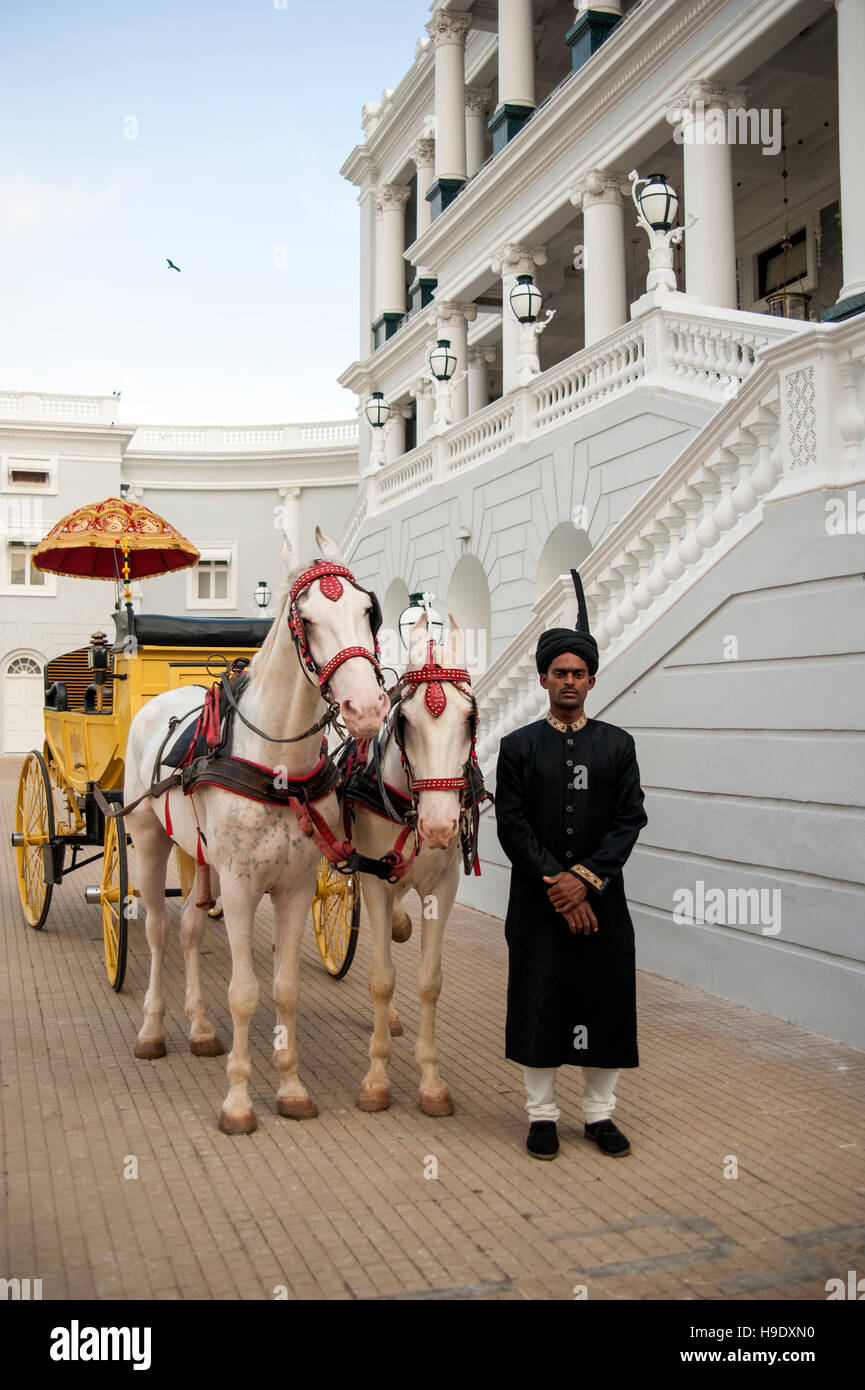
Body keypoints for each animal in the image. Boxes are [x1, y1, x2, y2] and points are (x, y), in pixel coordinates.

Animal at [125, 525, 389, 1134]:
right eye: (307, 618)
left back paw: (200, 1028)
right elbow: (244, 993)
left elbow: (285, 989)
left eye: (369, 611)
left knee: (190, 929)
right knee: (157, 930)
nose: (366, 708)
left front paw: (291, 1088)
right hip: (149, 842)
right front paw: (239, 1102)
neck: (277, 769)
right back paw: (152, 1029)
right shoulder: (243, 887)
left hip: (196, 855)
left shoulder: (293, 887)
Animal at [347, 619, 481, 1117]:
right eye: (404, 721)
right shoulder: (371, 878)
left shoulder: (444, 884)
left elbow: (429, 981)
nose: (440, 826)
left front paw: (431, 1081)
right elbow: (382, 979)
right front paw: (376, 1078)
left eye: (470, 719)